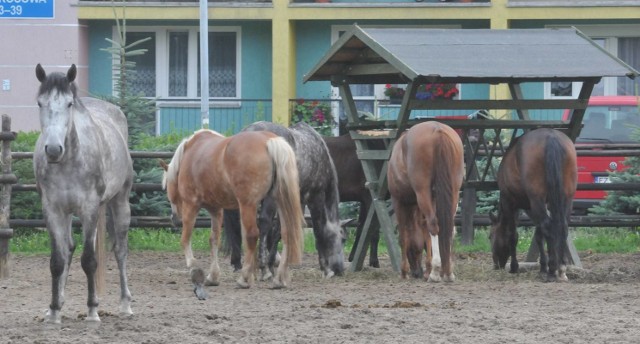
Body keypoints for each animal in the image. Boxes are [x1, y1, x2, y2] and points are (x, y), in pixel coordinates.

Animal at [34, 63, 134, 322]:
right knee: (68, 248)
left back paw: (125, 304)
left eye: (69, 104)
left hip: (120, 202)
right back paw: (57, 303)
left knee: (121, 251)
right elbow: (57, 260)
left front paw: (92, 310)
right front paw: (54, 310)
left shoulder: (89, 209)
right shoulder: (52, 210)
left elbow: (89, 260)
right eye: (40, 103)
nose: (53, 150)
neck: (69, 161)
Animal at [159, 127, 302, 294]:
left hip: (248, 204)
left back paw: (244, 279)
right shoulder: (216, 209)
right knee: (286, 234)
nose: (174, 219)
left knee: (252, 235)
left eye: (166, 186)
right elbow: (213, 240)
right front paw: (213, 276)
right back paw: (279, 279)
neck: (190, 153)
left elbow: (185, 238)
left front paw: (193, 265)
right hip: (279, 202)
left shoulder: (191, 205)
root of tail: (269, 141)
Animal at [225, 121, 344, 280]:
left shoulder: (297, 200)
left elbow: (280, 230)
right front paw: (325, 268)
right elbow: (318, 230)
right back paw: (263, 269)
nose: (340, 270)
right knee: (264, 222)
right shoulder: (315, 196)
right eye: (342, 239)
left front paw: (273, 263)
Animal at [388, 121, 462, 282]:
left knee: (433, 225)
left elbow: (403, 236)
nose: (417, 272)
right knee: (449, 228)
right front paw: (429, 268)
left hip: (422, 193)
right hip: (453, 192)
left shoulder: (398, 201)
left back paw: (435, 271)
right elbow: (426, 233)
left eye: (412, 251)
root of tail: (437, 130)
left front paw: (404, 271)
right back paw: (448, 271)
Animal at [490, 127, 580, 280]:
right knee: (562, 226)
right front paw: (543, 267)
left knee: (547, 226)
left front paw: (514, 267)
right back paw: (561, 268)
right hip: (567, 197)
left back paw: (552, 270)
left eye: (490, 237)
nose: (496, 265)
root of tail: (551, 137)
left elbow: (513, 235)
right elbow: (539, 235)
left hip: (537, 199)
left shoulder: (510, 202)